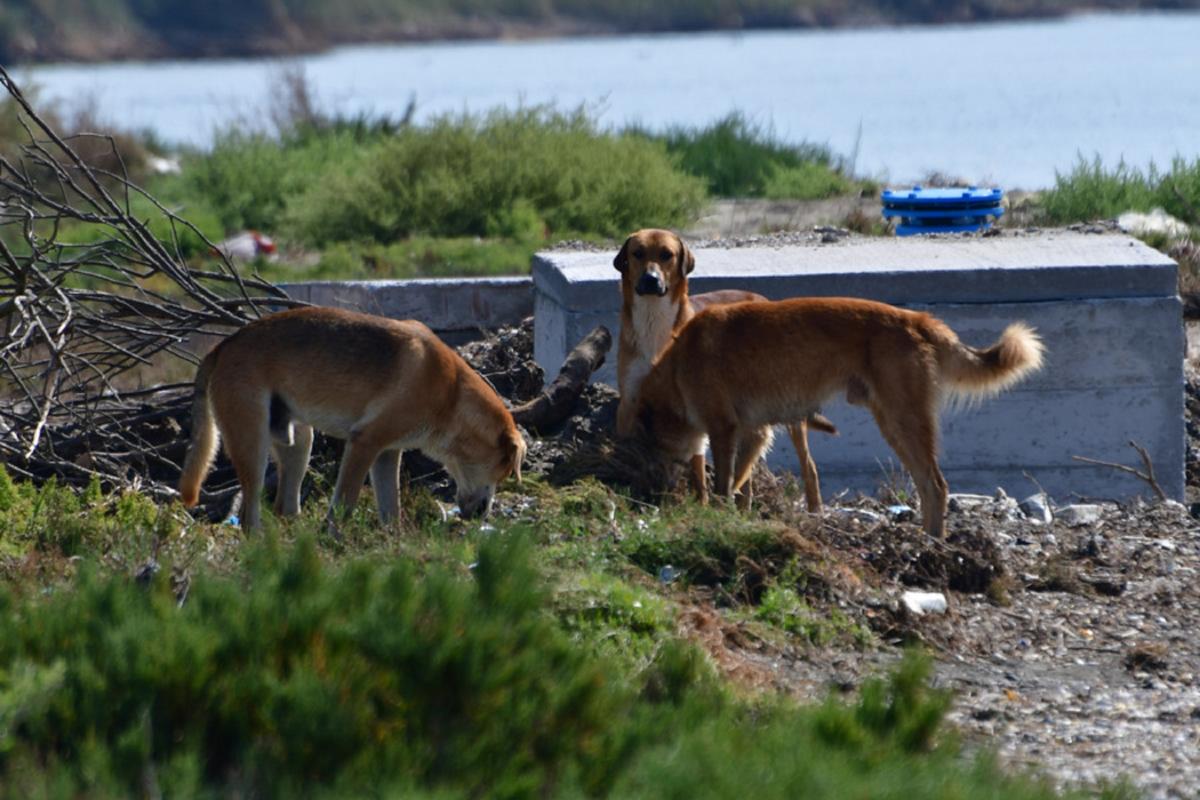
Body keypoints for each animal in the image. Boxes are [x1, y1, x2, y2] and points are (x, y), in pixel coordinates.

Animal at [176, 307, 525, 532]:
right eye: (506, 470)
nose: (483, 515)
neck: (450, 395)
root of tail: (224, 345)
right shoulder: (364, 444)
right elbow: (343, 506)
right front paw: (335, 542)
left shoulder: (387, 452)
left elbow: (391, 511)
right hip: (253, 445)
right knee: (250, 519)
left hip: (299, 443)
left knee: (285, 508)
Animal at [619, 227, 835, 510]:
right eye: (638, 253)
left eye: (667, 255)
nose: (650, 279)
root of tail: (761, 297)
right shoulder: (631, 399)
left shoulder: (709, 414)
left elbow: (704, 468)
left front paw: (704, 503)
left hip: (789, 410)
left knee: (807, 465)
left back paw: (813, 509)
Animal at [638, 296, 1041, 537]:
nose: (656, 496)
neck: (678, 364)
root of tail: (917, 320)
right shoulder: (753, 433)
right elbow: (740, 484)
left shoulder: (724, 430)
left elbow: (724, 484)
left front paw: (717, 517)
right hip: (894, 424)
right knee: (928, 487)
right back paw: (925, 540)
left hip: (904, 422)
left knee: (937, 485)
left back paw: (936, 544)